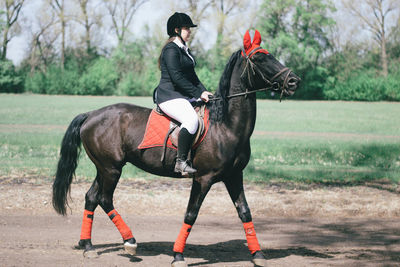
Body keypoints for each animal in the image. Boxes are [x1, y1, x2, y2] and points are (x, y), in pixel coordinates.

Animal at [51, 29, 298, 267]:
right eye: (259, 58)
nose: (294, 81)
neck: (225, 125)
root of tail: (91, 114)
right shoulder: (203, 179)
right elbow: (191, 214)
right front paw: (178, 256)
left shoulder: (234, 175)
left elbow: (245, 212)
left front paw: (258, 254)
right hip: (111, 169)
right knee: (104, 199)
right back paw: (129, 242)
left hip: (104, 168)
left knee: (92, 197)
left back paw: (88, 246)